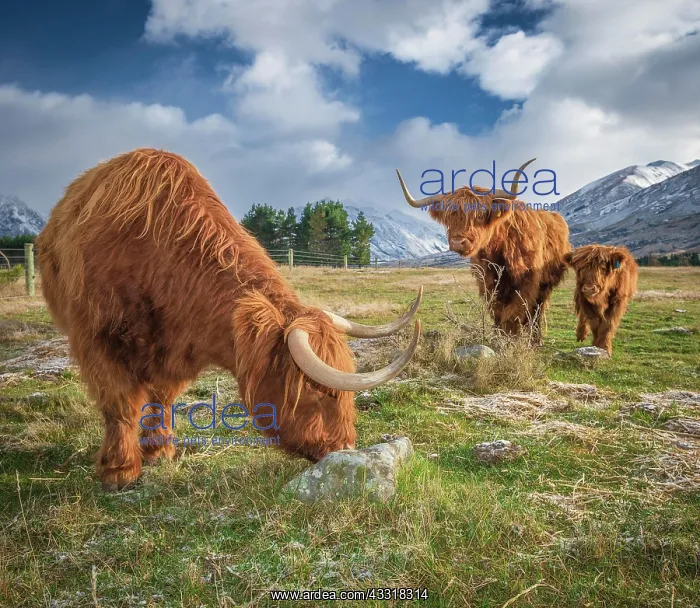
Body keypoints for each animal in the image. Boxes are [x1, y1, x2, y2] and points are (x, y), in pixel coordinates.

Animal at [37, 148, 422, 491]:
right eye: (317, 391)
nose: (344, 448)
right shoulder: (98, 339)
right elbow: (120, 403)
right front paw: (120, 471)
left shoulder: (174, 351)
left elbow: (160, 398)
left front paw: (159, 451)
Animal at [396, 160, 571, 343]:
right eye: (450, 217)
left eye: (480, 215)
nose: (458, 242)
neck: (499, 251)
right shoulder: (487, 282)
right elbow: (497, 312)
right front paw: (500, 338)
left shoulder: (526, 281)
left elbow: (515, 312)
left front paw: (511, 341)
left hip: (546, 284)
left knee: (537, 310)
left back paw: (535, 340)